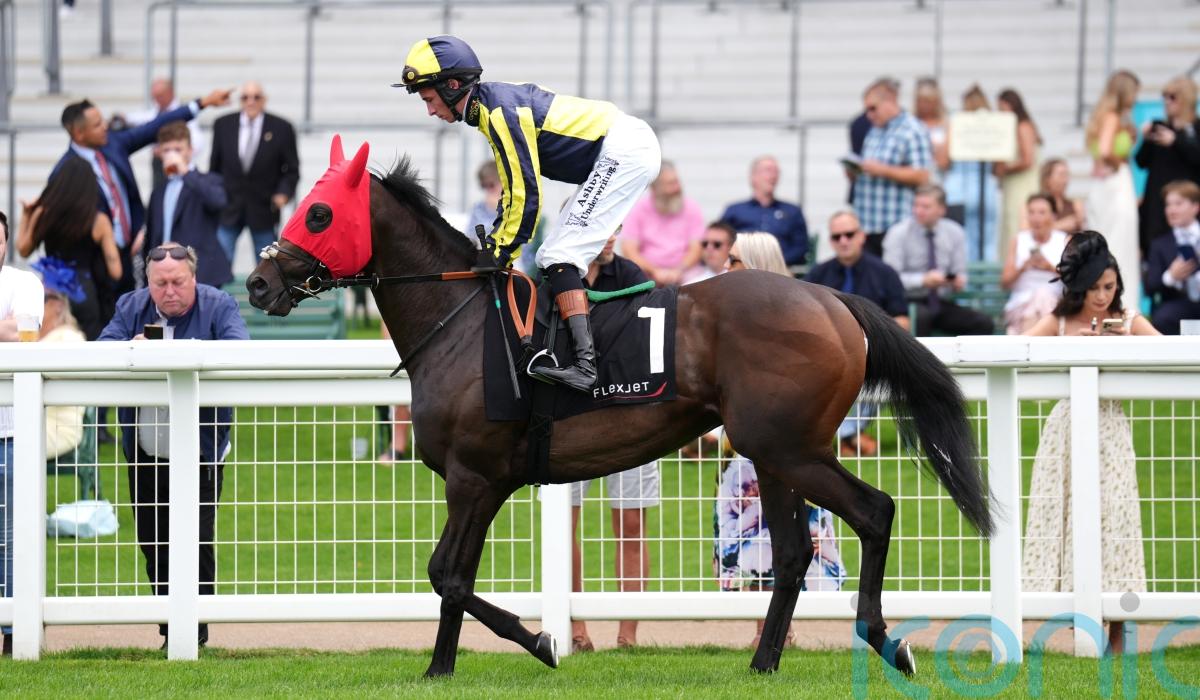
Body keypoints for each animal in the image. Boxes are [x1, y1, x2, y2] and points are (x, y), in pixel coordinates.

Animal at [247, 136, 994, 678]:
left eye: (318, 213)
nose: (257, 282)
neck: (461, 320)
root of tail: (833, 299)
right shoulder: (484, 482)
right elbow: (450, 577)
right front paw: (474, 659)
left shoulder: (474, 476)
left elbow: (447, 576)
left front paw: (507, 653)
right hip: (773, 453)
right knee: (790, 555)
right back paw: (763, 662)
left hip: (791, 448)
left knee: (875, 511)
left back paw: (885, 640)